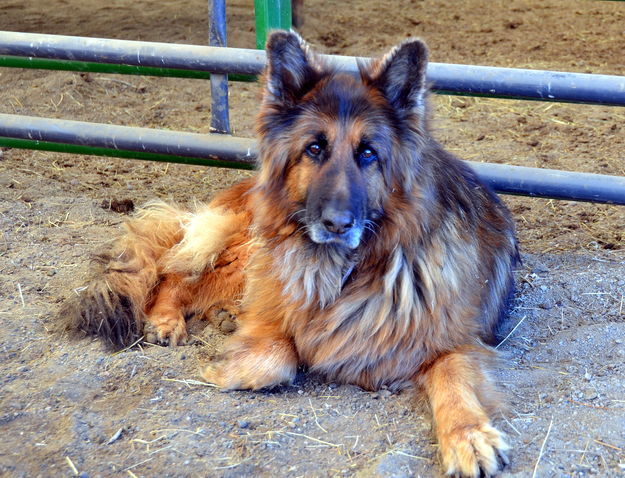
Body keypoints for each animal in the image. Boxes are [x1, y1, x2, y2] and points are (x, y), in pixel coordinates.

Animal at [64, 31, 520, 476]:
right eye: (314, 149)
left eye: (368, 153)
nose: (336, 224)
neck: (347, 271)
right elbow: (277, 355)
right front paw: (230, 367)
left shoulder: (456, 342)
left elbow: (453, 379)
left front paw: (467, 435)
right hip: (251, 250)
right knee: (176, 273)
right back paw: (167, 318)